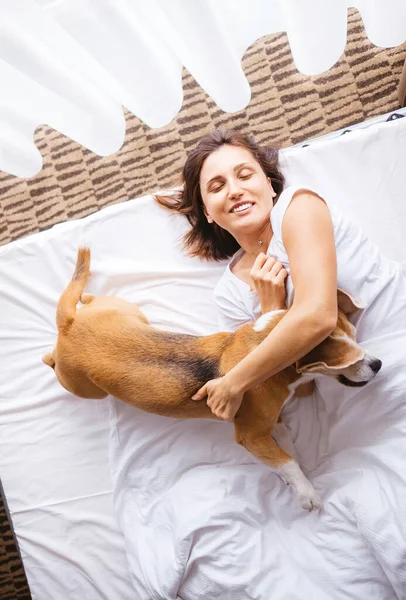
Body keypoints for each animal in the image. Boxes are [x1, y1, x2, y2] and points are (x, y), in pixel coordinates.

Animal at [43, 248, 380, 510]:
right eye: (349, 360)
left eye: (355, 335)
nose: (377, 364)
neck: (265, 343)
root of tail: (69, 324)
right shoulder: (249, 434)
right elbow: (287, 461)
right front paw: (306, 493)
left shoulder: (272, 423)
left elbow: (285, 450)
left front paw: (290, 475)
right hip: (82, 386)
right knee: (53, 360)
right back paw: (50, 356)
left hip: (131, 312)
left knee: (89, 299)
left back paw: (87, 297)